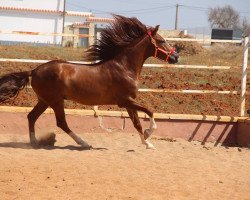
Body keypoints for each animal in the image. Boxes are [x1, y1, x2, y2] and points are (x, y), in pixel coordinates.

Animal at [0, 15, 178, 148]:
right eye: (161, 41)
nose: (176, 57)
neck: (124, 68)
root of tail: (34, 70)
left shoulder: (129, 102)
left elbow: (137, 123)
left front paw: (147, 143)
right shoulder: (124, 101)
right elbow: (149, 112)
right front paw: (149, 135)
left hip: (44, 100)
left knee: (31, 117)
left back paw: (35, 142)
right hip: (55, 101)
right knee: (61, 122)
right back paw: (83, 143)